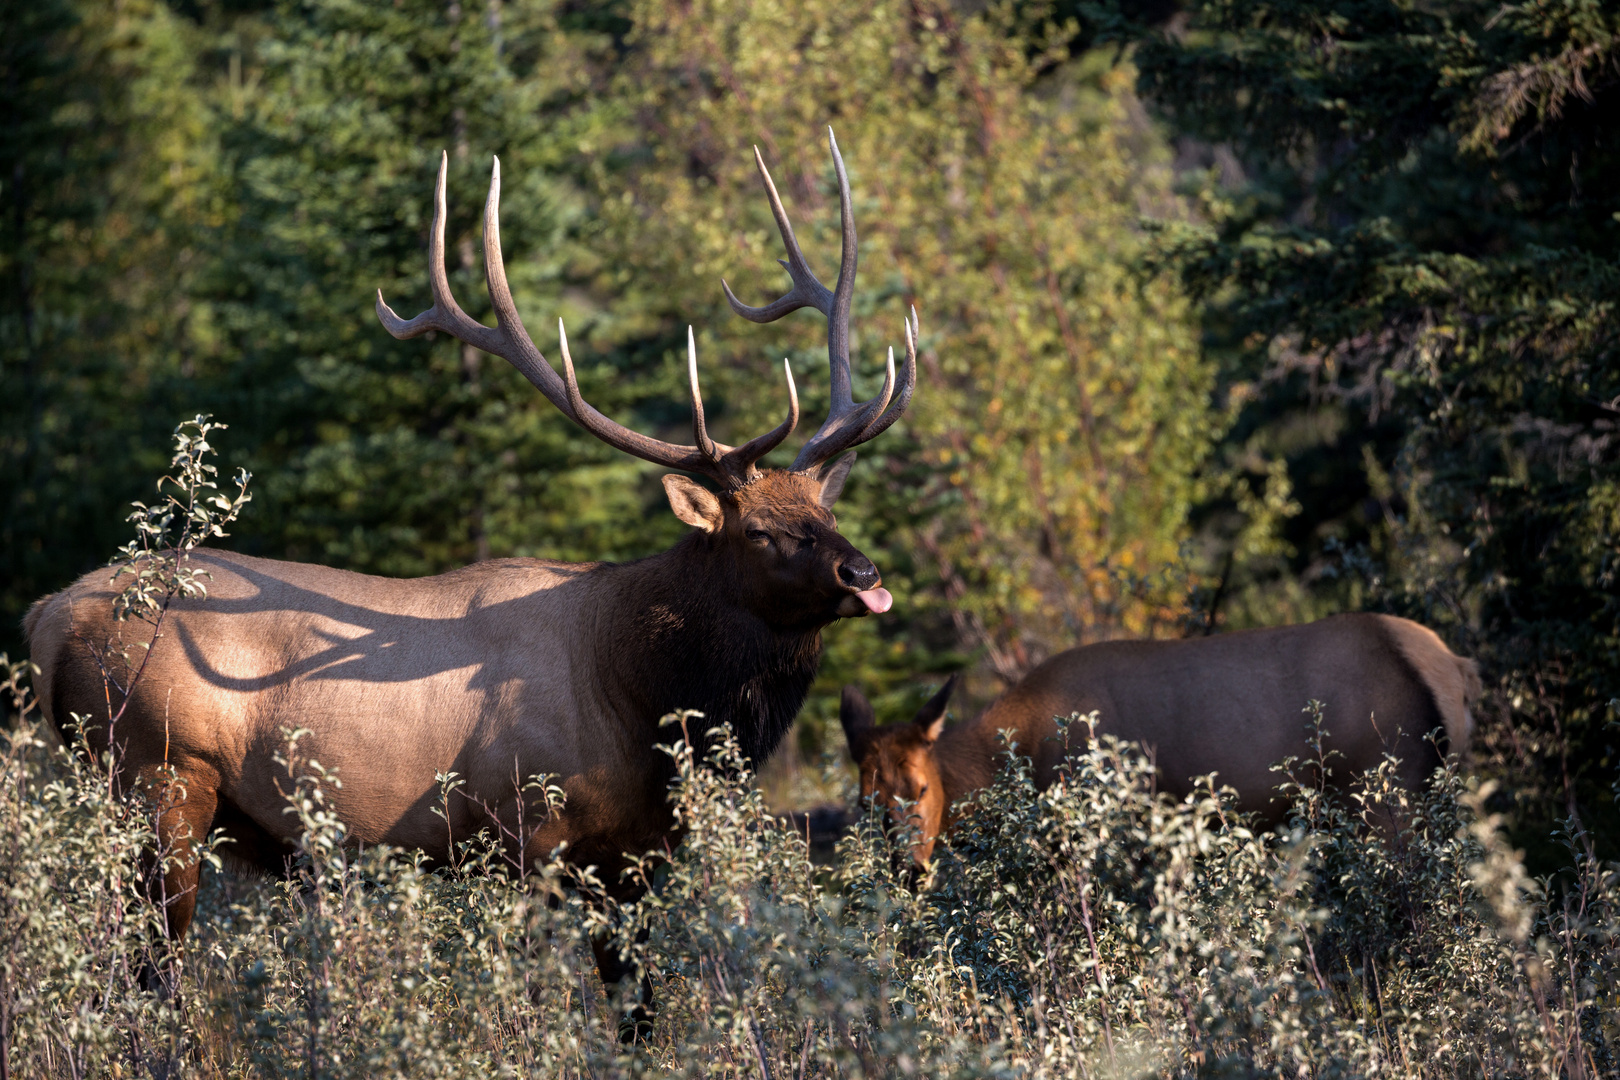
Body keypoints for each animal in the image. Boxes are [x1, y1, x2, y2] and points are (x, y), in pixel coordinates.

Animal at [25, 131, 920, 1016]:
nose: (864, 570)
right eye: (763, 532)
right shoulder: (522, 826)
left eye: (827, 511)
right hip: (161, 776)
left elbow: (638, 1009)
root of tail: (43, 617)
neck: (646, 698)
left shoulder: (634, 857)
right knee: (146, 973)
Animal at [842, 615, 1483, 867]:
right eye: (866, 802)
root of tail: (1457, 668)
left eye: (922, 789)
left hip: (1389, 794)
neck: (1018, 757)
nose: (907, 871)